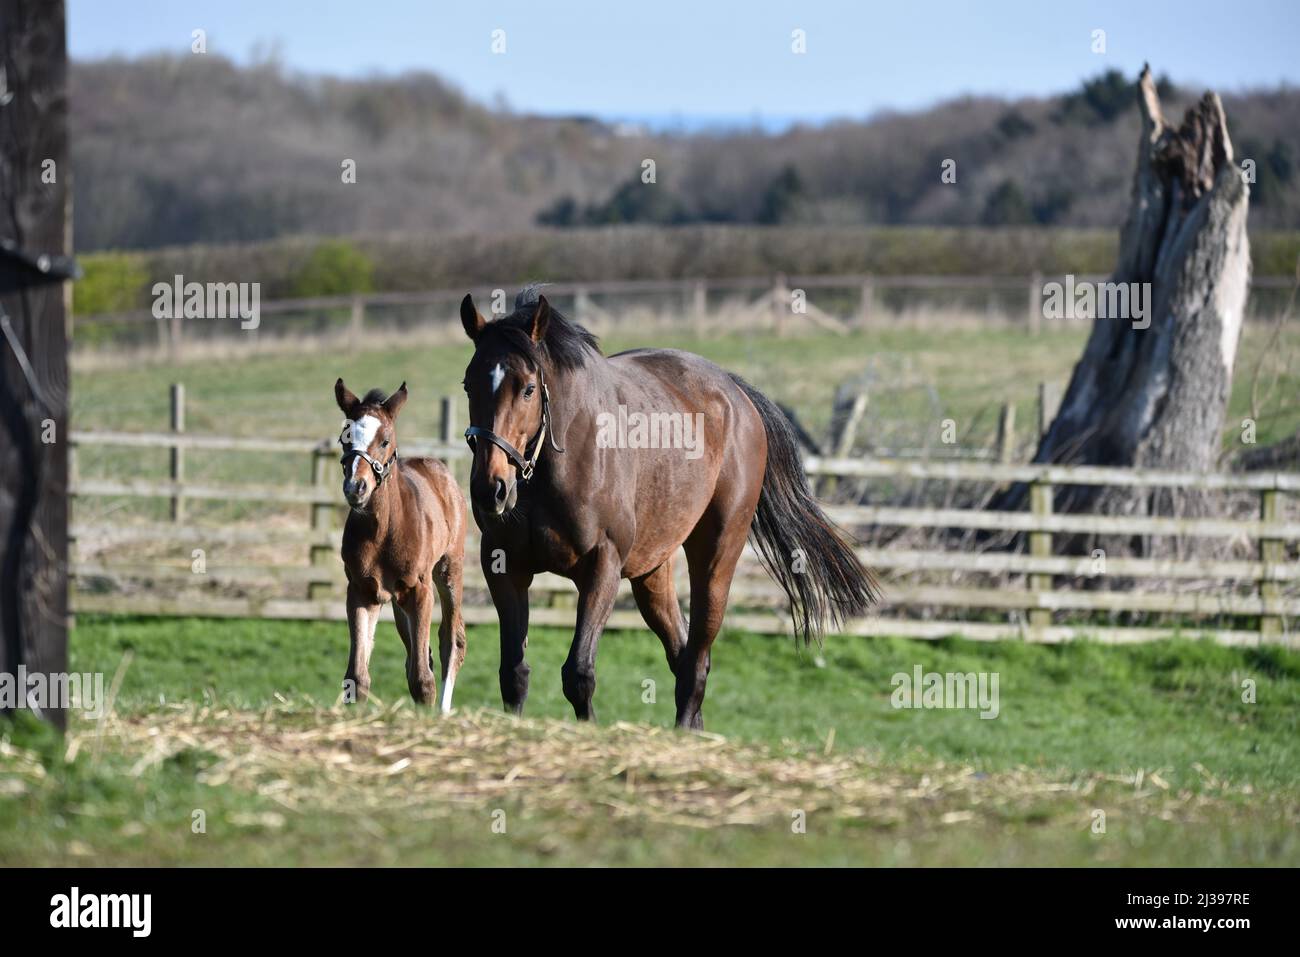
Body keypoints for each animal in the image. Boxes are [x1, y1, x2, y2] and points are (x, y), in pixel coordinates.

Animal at [335, 379, 467, 712]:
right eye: (345, 438)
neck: (383, 530)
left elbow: (423, 679)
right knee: (417, 654)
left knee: (451, 642)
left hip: (449, 570)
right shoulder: (361, 590)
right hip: (396, 602)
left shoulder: (420, 590)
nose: (356, 487)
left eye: (385, 440)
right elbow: (357, 677)